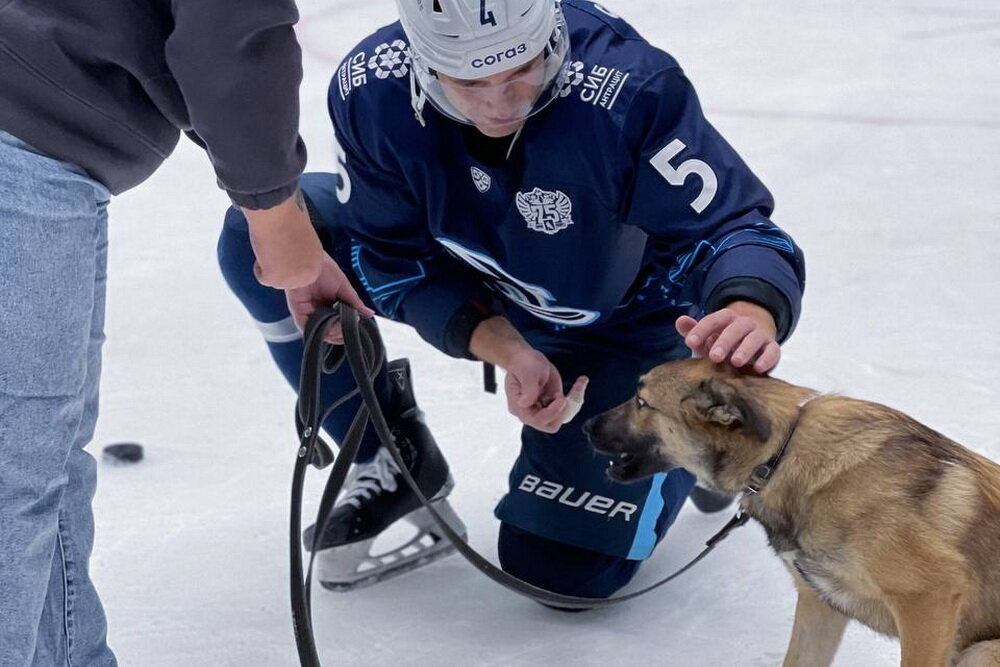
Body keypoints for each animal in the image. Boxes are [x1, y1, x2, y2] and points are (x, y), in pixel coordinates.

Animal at [584, 360, 1000, 667]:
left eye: (641, 402)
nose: (585, 425)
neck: (780, 457)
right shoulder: (820, 607)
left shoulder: (929, 599)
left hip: (981, 652)